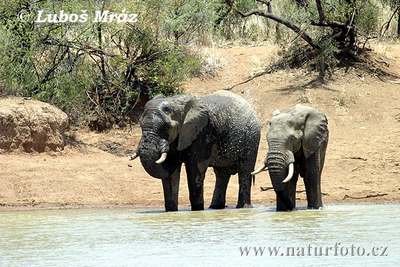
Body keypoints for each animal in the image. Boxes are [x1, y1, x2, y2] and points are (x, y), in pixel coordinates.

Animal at [130, 91, 260, 213]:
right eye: (140, 125)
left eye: (167, 126)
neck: (176, 102)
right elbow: (170, 174)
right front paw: (171, 211)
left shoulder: (202, 132)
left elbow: (195, 169)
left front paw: (197, 210)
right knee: (221, 174)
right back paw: (215, 207)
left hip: (251, 138)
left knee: (245, 171)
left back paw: (243, 207)